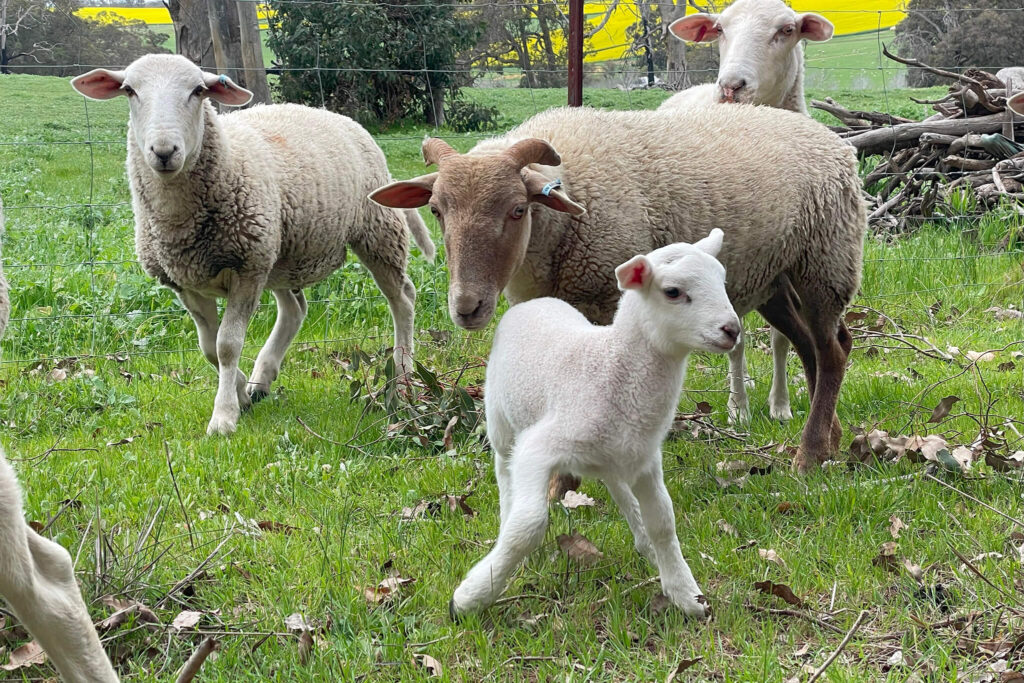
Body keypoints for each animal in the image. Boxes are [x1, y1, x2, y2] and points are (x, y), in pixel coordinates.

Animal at [70, 56, 432, 436]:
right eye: (129, 90)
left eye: (198, 91)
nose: (164, 152)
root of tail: (332, 114)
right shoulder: (186, 283)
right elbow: (208, 347)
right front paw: (241, 393)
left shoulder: (246, 269)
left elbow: (227, 345)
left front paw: (224, 416)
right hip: (279, 253)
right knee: (295, 309)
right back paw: (262, 379)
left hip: (375, 231)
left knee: (402, 298)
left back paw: (403, 375)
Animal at [368, 105, 864, 475]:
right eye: (436, 210)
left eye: (517, 209)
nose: (466, 307)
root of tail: (833, 139)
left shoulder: (605, 299)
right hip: (773, 277)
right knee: (812, 346)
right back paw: (831, 440)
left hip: (827, 261)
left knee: (833, 350)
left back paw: (810, 454)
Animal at [452, 231, 741, 618]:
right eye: (673, 292)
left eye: (722, 281)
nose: (732, 330)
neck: (609, 364)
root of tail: (536, 302)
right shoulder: (538, 447)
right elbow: (528, 526)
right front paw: (471, 596)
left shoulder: (646, 458)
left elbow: (663, 521)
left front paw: (686, 593)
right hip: (501, 419)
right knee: (504, 468)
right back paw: (506, 516)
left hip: (614, 452)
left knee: (617, 485)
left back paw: (643, 543)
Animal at [659, 0, 835, 428]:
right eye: (720, 29)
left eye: (787, 30)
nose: (730, 86)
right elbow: (735, 339)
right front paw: (738, 409)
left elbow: (781, 339)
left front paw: (781, 405)